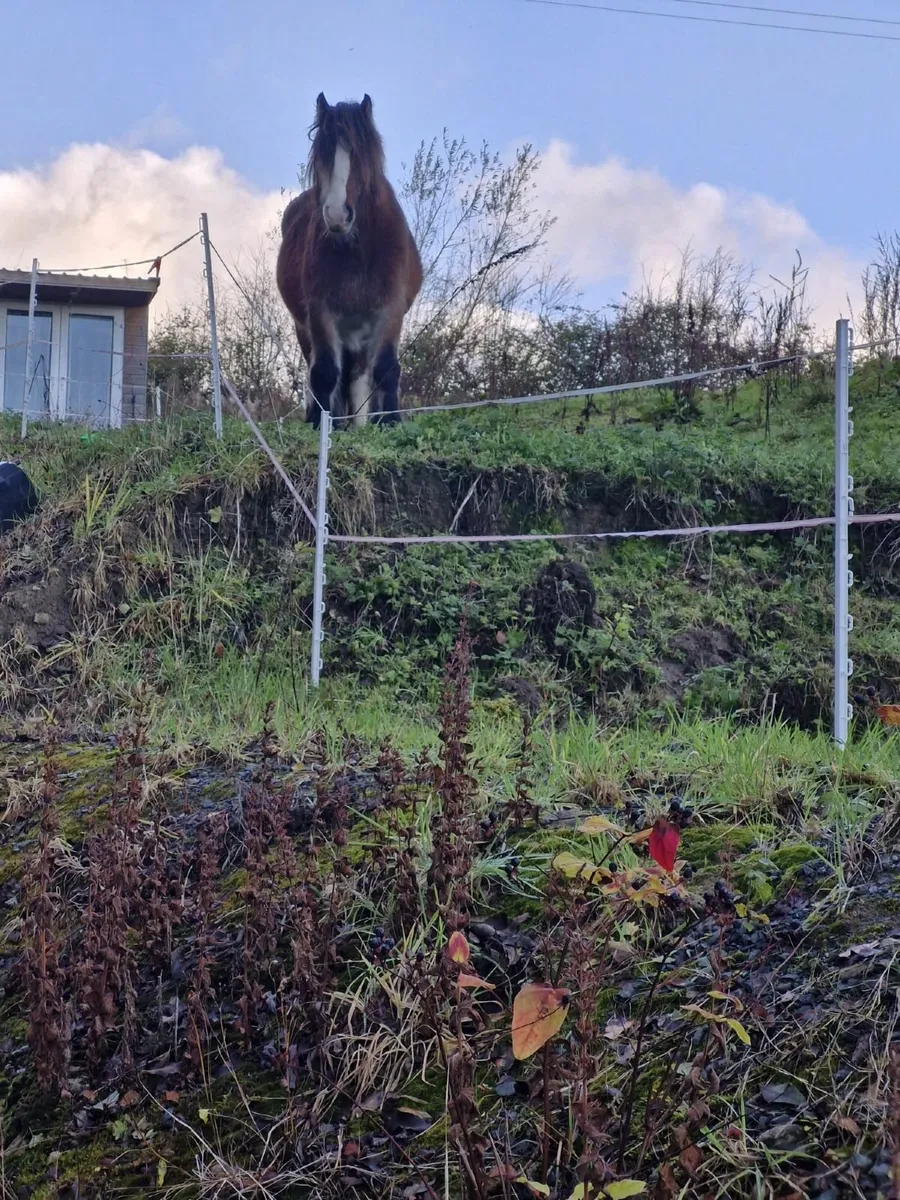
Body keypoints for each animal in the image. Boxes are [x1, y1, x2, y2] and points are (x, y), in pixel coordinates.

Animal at [276, 92, 423, 428]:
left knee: (358, 376)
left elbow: (385, 369)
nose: (336, 215)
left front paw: (390, 422)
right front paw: (320, 424)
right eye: (323, 153)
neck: (358, 250)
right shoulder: (320, 312)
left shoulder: (390, 310)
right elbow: (324, 372)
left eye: (360, 155)